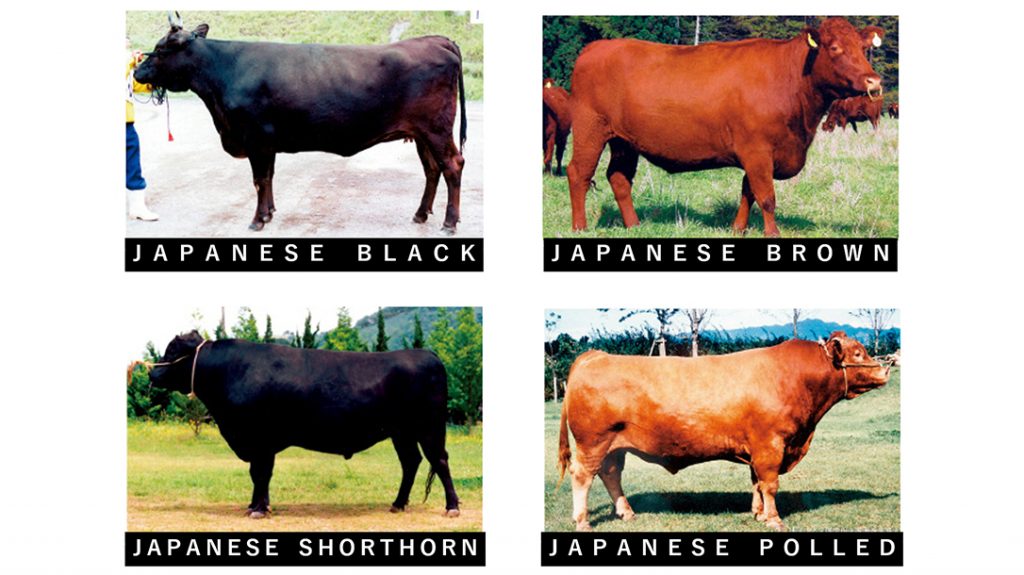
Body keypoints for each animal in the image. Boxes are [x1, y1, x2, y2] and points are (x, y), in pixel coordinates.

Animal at [134, 13, 467, 233]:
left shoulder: (255, 138)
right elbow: (268, 178)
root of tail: (437, 40)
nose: (137, 72)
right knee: (432, 170)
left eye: (160, 49)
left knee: (452, 166)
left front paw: (257, 220)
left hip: (436, 130)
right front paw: (269, 213)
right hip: (422, 134)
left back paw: (449, 223)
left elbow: (259, 180)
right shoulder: (266, 143)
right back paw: (421, 214)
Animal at [149, 330, 460, 518]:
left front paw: (258, 509)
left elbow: (260, 474)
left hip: (429, 427)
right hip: (401, 432)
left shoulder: (259, 438)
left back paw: (452, 507)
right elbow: (259, 475)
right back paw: (397, 504)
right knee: (411, 462)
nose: (152, 374)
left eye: (172, 350)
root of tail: (426, 354)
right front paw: (258, 505)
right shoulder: (258, 442)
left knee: (440, 460)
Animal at [557, 332, 890, 531]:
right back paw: (582, 521)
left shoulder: (758, 449)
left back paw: (626, 512)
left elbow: (757, 483)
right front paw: (774, 519)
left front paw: (758, 513)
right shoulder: (771, 444)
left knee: (611, 474)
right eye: (858, 354)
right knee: (583, 476)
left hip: (615, 446)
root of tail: (595, 355)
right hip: (593, 442)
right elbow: (770, 484)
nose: (885, 370)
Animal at [566, 17, 885, 237]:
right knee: (579, 173)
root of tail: (595, 47)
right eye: (834, 47)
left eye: (863, 48)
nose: (874, 80)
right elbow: (766, 196)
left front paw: (738, 229)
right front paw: (773, 233)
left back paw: (634, 226)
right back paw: (580, 227)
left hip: (624, 141)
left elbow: (748, 192)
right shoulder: (757, 151)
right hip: (589, 129)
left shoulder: (760, 155)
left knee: (619, 179)